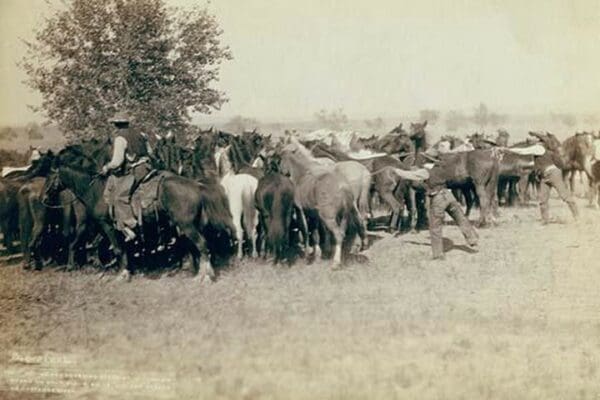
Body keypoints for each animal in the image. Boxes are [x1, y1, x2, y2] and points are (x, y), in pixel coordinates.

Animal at [44, 144, 237, 282]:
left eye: (49, 177)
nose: (44, 197)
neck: (95, 190)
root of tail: (197, 185)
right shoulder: (96, 226)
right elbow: (83, 243)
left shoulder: (107, 226)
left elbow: (117, 248)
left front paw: (122, 275)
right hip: (194, 224)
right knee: (201, 246)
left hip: (187, 225)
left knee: (202, 245)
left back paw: (204, 277)